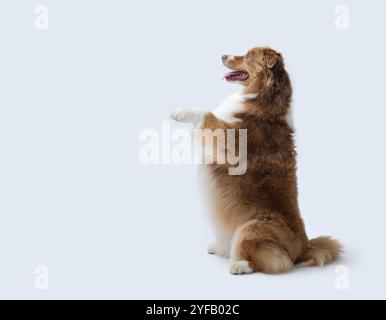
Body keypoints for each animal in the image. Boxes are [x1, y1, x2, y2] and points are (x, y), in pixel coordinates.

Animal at [170, 46, 342, 274]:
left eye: (248, 56)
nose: (222, 55)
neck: (264, 97)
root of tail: (302, 250)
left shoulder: (230, 138)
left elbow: (206, 113)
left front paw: (179, 112)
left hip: (251, 228)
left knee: (273, 261)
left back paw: (239, 265)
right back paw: (220, 248)